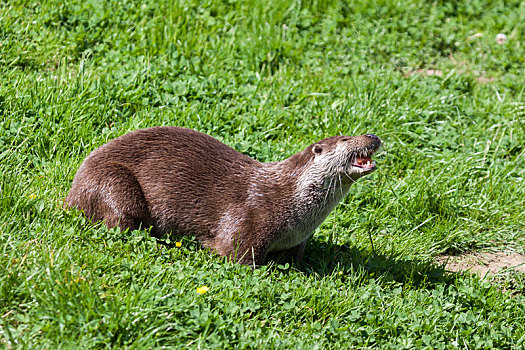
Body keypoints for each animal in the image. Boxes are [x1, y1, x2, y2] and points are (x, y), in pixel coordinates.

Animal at [66, 126, 380, 266]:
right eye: (346, 138)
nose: (373, 136)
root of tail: (71, 193)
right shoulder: (249, 219)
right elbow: (236, 255)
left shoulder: (298, 240)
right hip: (113, 183)